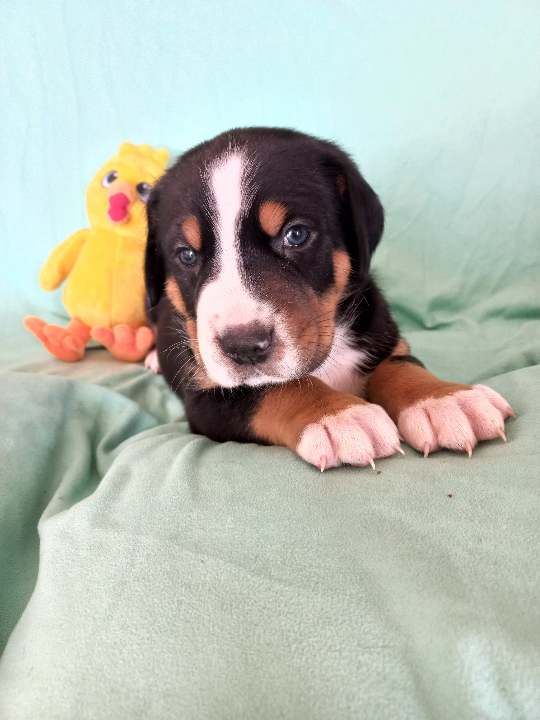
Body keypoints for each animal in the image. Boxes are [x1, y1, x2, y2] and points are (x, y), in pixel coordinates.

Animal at [144, 127, 513, 470]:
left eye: (296, 234)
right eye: (187, 255)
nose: (244, 347)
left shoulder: (383, 335)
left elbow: (400, 366)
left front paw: (444, 400)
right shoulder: (208, 398)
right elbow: (277, 388)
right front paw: (340, 417)